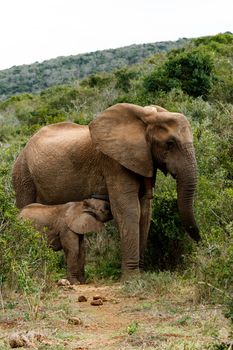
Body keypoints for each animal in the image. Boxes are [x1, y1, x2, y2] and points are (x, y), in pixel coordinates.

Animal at [11, 102, 199, 278]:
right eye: (170, 143)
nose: (199, 240)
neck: (144, 118)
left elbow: (145, 211)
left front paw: (140, 274)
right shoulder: (113, 162)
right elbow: (128, 209)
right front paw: (131, 279)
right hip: (23, 176)